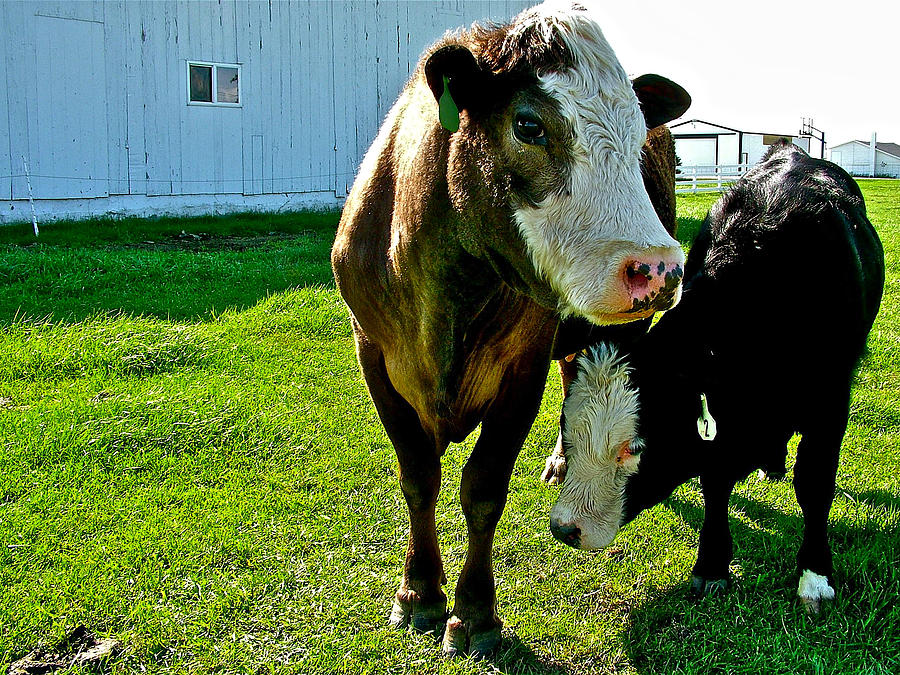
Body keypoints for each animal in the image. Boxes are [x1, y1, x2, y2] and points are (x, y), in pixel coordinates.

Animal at [330, 0, 688, 656]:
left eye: (634, 132)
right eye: (528, 125)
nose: (658, 268)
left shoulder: (524, 364)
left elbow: (484, 486)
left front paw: (474, 612)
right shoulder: (373, 354)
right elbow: (418, 477)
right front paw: (419, 593)